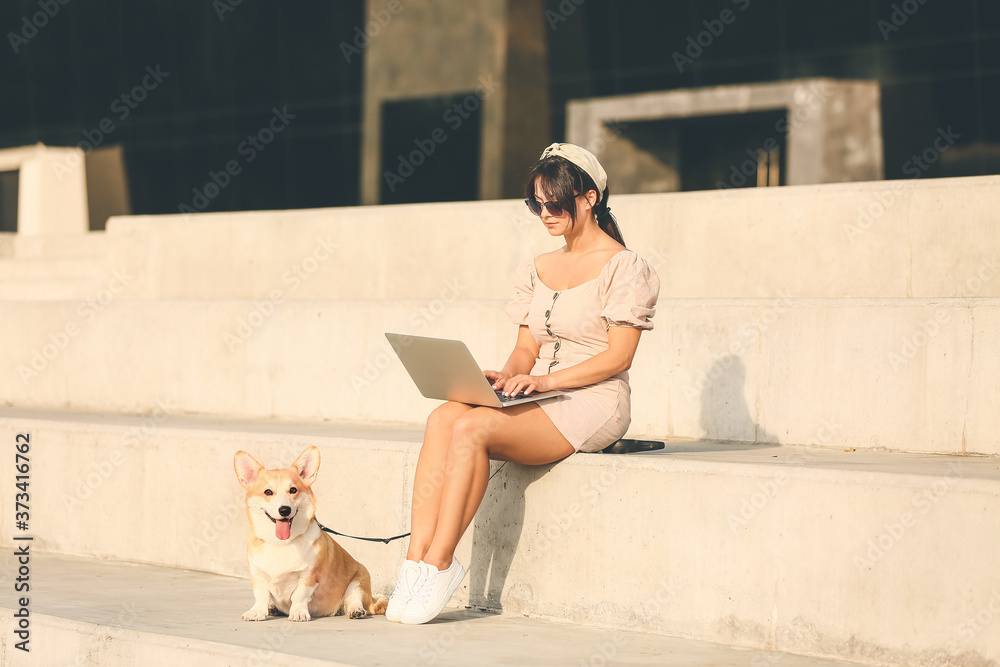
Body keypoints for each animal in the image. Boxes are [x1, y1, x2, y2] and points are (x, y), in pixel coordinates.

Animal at [234, 446, 386, 624]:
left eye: (293, 490)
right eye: (268, 492)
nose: (284, 510)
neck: (281, 543)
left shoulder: (309, 577)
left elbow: (299, 596)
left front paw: (298, 612)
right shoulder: (257, 574)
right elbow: (261, 595)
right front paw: (257, 612)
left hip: (358, 580)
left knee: (353, 599)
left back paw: (356, 610)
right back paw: (274, 608)